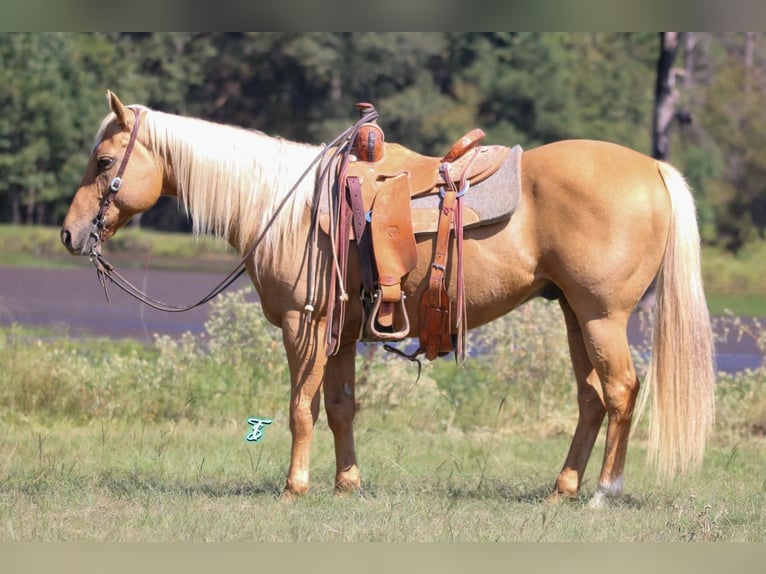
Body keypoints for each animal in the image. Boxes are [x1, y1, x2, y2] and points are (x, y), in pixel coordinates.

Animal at [63, 91, 716, 508]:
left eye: (103, 161)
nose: (70, 234)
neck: (286, 204)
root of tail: (652, 168)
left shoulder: (304, 325)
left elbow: (301, 409)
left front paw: (295, 486)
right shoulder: (342, 332)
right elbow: (340, 408)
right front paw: (347, 484)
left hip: (603, 316)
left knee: (622, 391)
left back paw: (604, 492)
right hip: (574, 316)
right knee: (591, 399)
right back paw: (564, 489)